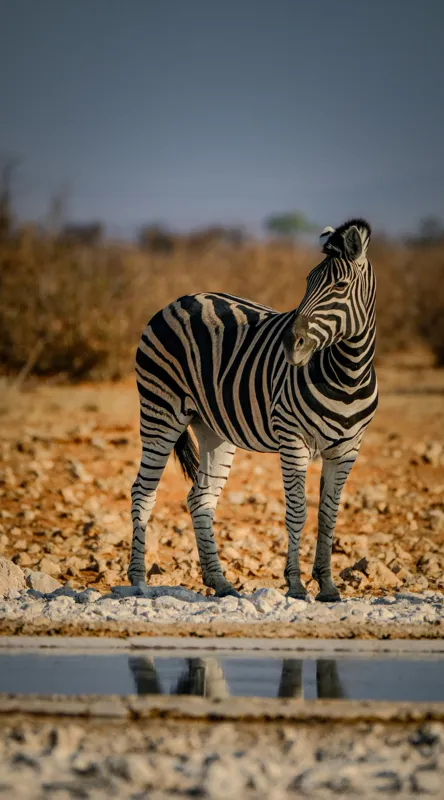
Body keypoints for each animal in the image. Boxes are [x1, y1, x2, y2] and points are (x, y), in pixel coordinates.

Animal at [129, 218, 378, 602]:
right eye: (308, 281)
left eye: (339, 285)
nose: (291, 344)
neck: (347, 375)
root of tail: (180, 299)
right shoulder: (293, 440)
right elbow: (297, 511)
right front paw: (295, 586)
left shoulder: (348, 448)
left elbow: (328, 515)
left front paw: (327, 586)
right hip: (160, 411)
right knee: (143, 492)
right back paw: (139, 582)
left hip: (212, 428)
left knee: (200, 498)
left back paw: (220, 582)